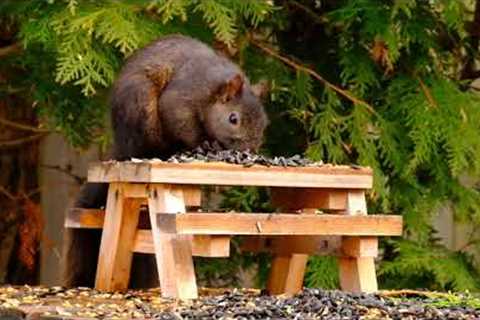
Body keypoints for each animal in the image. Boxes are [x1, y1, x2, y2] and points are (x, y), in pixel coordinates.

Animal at [62, 34, 268, 288]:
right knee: (150, 146)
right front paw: (203, 145)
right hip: (141, 108)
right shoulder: (183, 98)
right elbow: (182, 122)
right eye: (233, 118)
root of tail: (122, 148)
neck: (212, 91)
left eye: (264, 123)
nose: (250, 150)